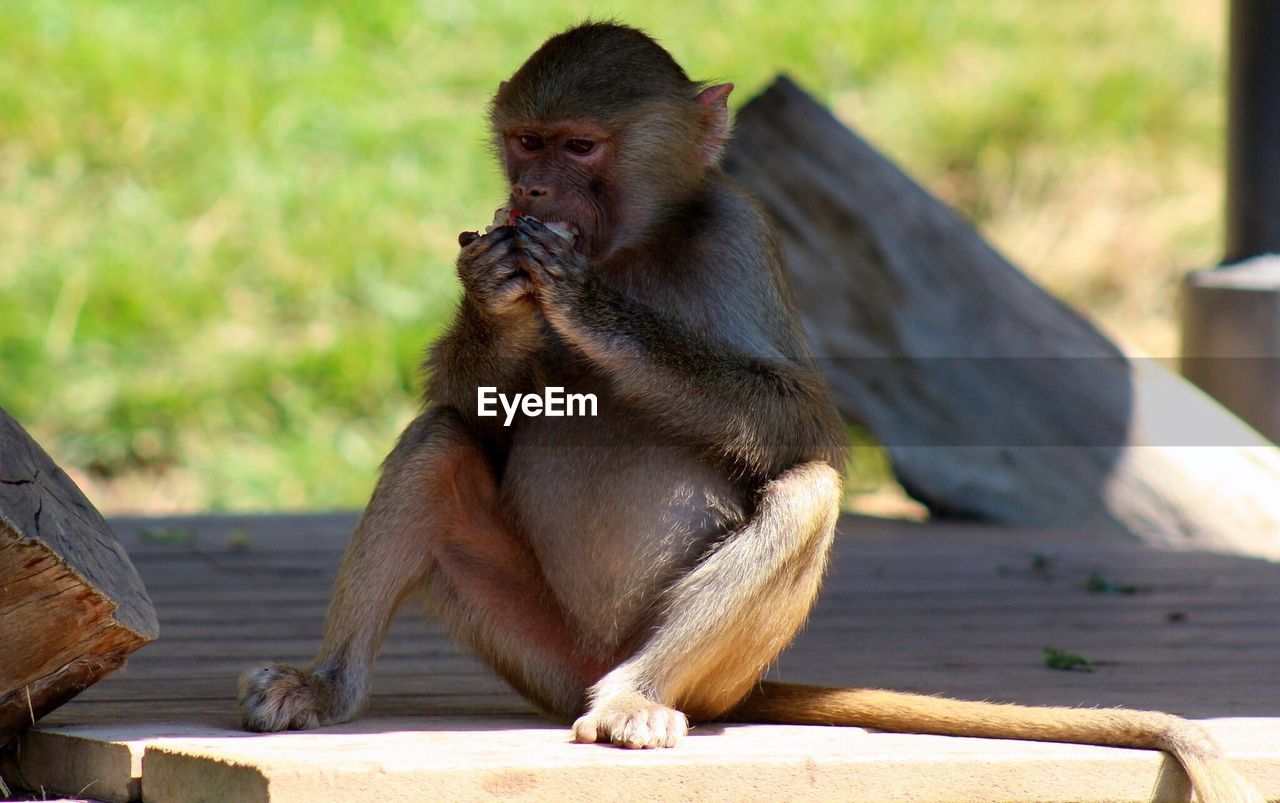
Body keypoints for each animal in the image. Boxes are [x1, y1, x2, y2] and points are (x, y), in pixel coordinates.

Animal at [240, 21, 1259, 799]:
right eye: (526, 143)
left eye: (579, 147)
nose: (528, 193)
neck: (638, 244)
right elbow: (475, 413)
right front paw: (494, 292)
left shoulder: (741, 233)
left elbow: (805, 424)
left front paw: (586, 307)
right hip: (537, 647)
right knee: (436, 443)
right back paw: (323, 687)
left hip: (694, 670)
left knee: (805, 491)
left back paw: (635, 699)